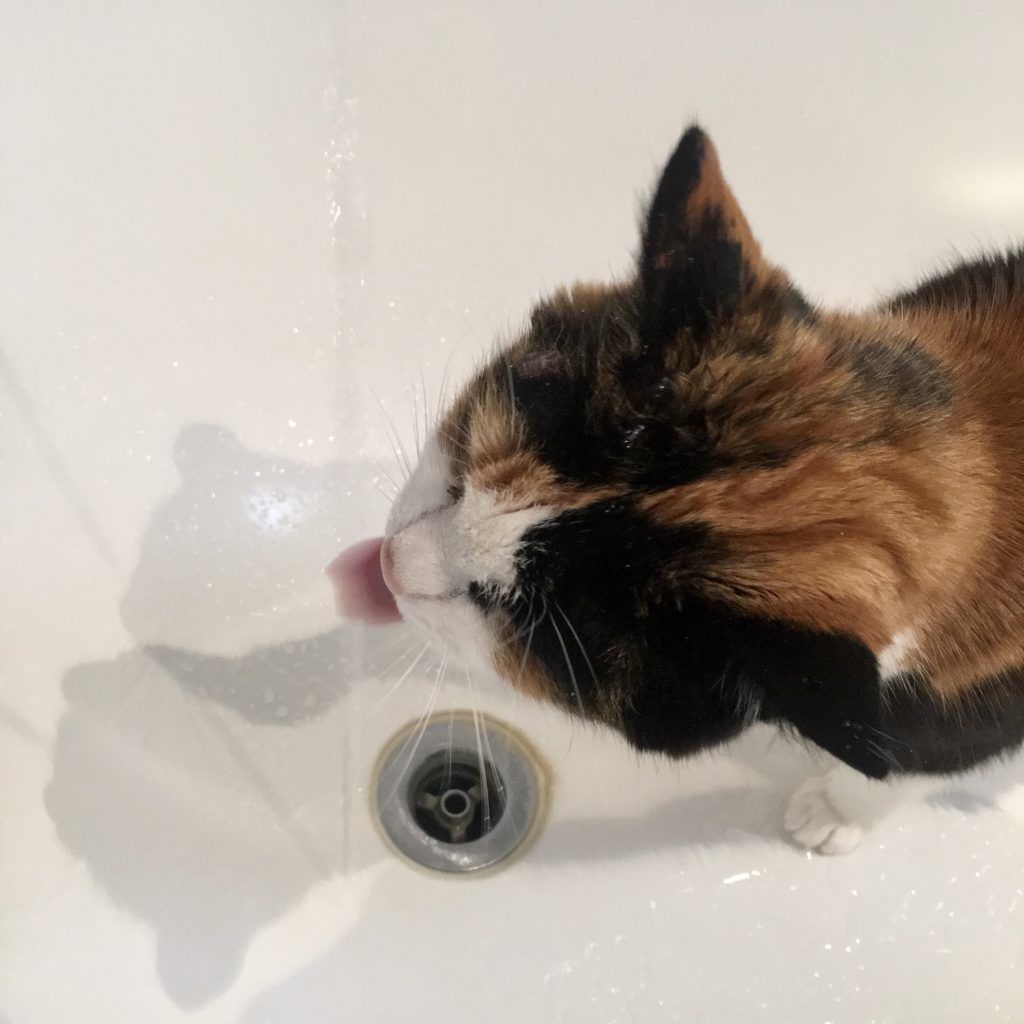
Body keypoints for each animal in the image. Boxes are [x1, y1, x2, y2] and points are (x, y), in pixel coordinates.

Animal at [333, 123, 1024, 851]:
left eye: (529, 620)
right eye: (467, 459)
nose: (390, 563)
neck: (982, 450)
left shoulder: (971, 710)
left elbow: (900, 766)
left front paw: (831, 815)